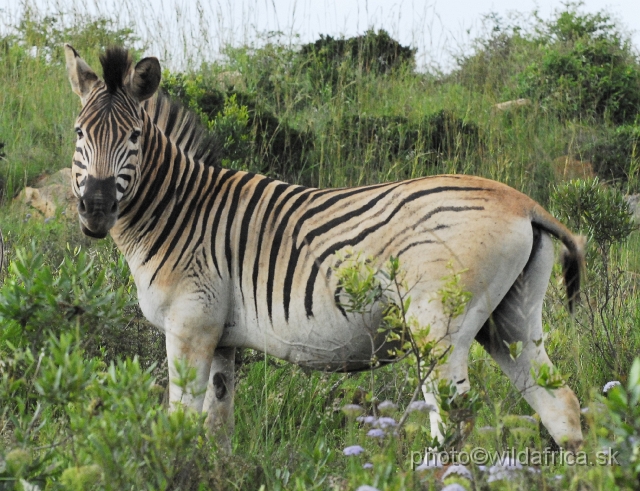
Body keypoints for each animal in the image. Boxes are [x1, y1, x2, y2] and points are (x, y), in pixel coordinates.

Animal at [63, 45, 584, 450]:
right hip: (510, 320)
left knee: (456, 421)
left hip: (439, 327)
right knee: (561, 404)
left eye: (133, 137)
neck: (180, 213)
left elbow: (181, 422)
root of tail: (524, 203)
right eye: (79, 133)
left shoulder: (190, 327)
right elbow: (217, 428)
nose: (95, 209)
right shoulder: (220, 338)